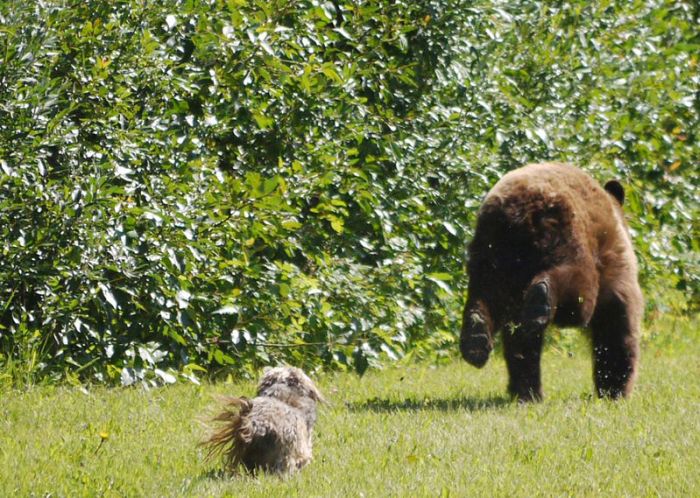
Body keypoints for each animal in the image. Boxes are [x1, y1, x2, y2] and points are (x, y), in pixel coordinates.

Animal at [459, 162, 643, 402]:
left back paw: (476, 340)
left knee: (489, 297)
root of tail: (516, 211)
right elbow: (616, 322)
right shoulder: (615, 265)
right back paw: (541, 299)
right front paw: (615, 387)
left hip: (491, 254)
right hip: (565, 234)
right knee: (578, 298)